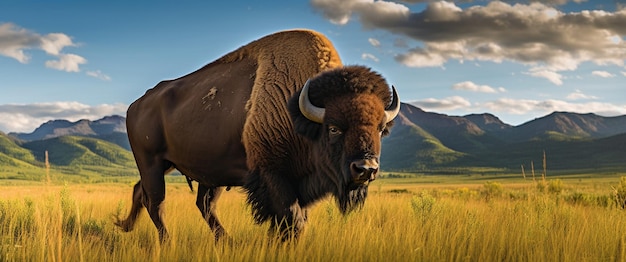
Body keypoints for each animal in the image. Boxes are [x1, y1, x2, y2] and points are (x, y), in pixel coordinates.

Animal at [116, 28, 400, 242]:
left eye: (380, 128)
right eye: (333, 128)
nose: (365, 169)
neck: (296, 108)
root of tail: (137, 104)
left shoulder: (299, 183)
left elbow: (294, 220)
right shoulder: (273, 175)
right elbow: (292, 221)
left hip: (189, 167)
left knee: (188, 201)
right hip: (151, 163)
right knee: (157, 202)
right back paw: (168, 242)